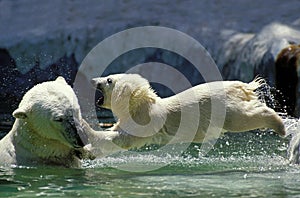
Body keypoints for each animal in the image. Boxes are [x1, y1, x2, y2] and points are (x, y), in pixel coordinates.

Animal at [91, 73, 286, 146]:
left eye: (108, 80)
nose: (94, 80)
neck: (141, 103)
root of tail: (240, 86)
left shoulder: (144, 119)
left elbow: (127, 138)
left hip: (223, 108)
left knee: (241, 118)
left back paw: (280, 126)